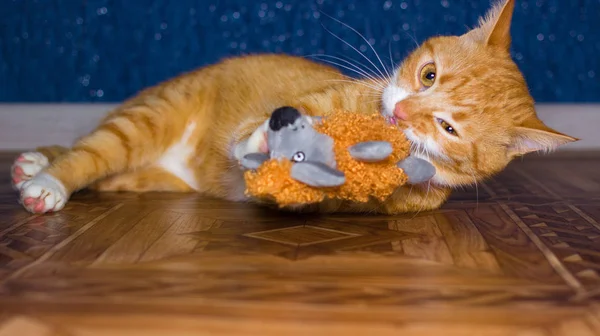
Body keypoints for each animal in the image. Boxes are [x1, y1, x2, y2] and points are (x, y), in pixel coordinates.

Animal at [10, 0, 576, 214]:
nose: (399, 116)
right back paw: (45, 176)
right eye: (428, 74)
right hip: (146, 118)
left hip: (148, 175)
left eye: (447, 128)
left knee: (109, 169)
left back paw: (36, 169)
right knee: (87, 151)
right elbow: (261, 126)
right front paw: (269, 136)